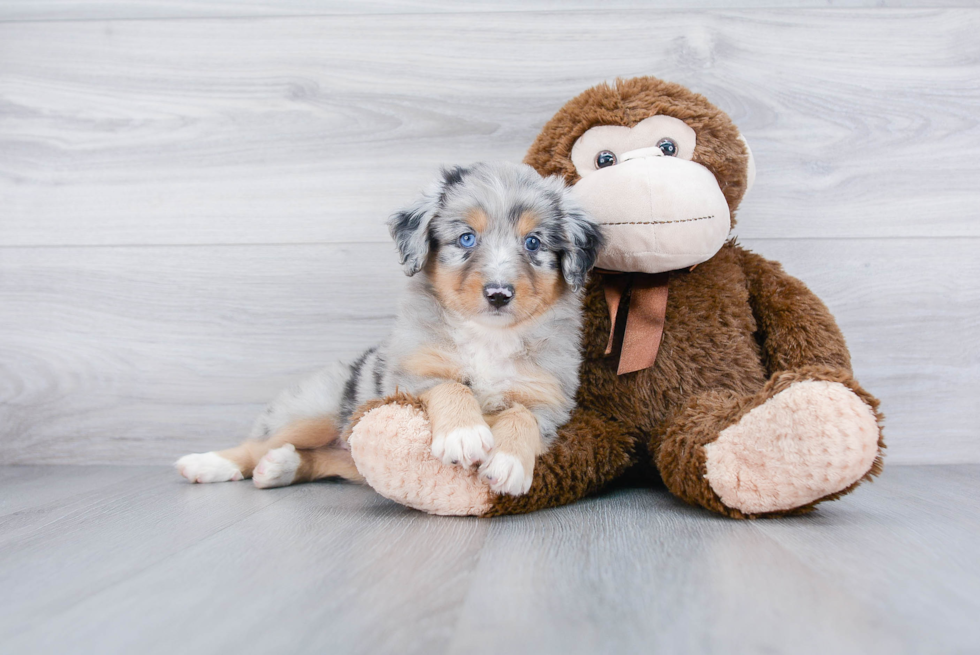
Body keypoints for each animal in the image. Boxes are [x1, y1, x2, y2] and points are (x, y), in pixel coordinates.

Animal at [179, 163, 600, 498]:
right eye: (466, 238)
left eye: (533, 243)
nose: (499, 294)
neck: (488, 336)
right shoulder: (411, 373)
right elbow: (452, 386)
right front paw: (463, 435)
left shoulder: (547, 400)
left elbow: (520, 416)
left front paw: (509, 463)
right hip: (317, 412)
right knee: (259, 442)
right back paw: (208, 464)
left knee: (329, 460)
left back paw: (281, 467)